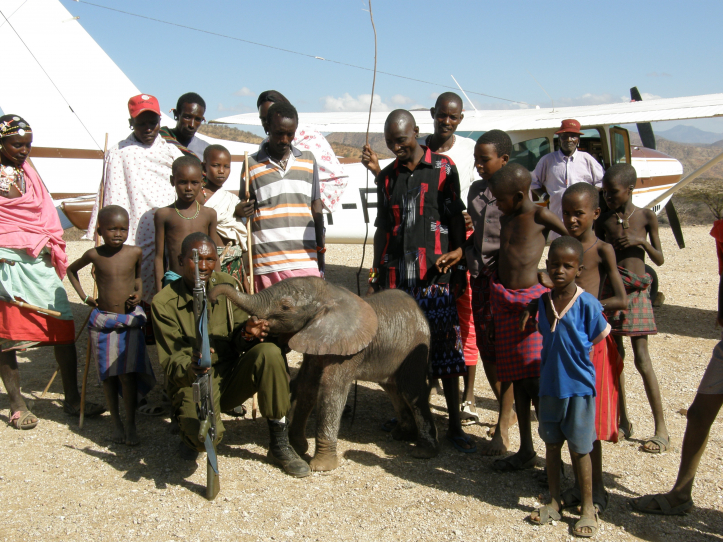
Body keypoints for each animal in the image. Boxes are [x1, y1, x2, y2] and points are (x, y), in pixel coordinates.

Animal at [208, 276, 436, 472]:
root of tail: (419, 310)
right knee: (392, 388)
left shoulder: (347, 351)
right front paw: (298, 448)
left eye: (285, 306)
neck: (332, 294)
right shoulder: (315, 341)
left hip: (416, 347)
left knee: (410, 391)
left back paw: (423, 451)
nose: (212, 297)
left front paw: (321, 466)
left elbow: (330, 390)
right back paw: (402, 434)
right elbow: (307, 386)